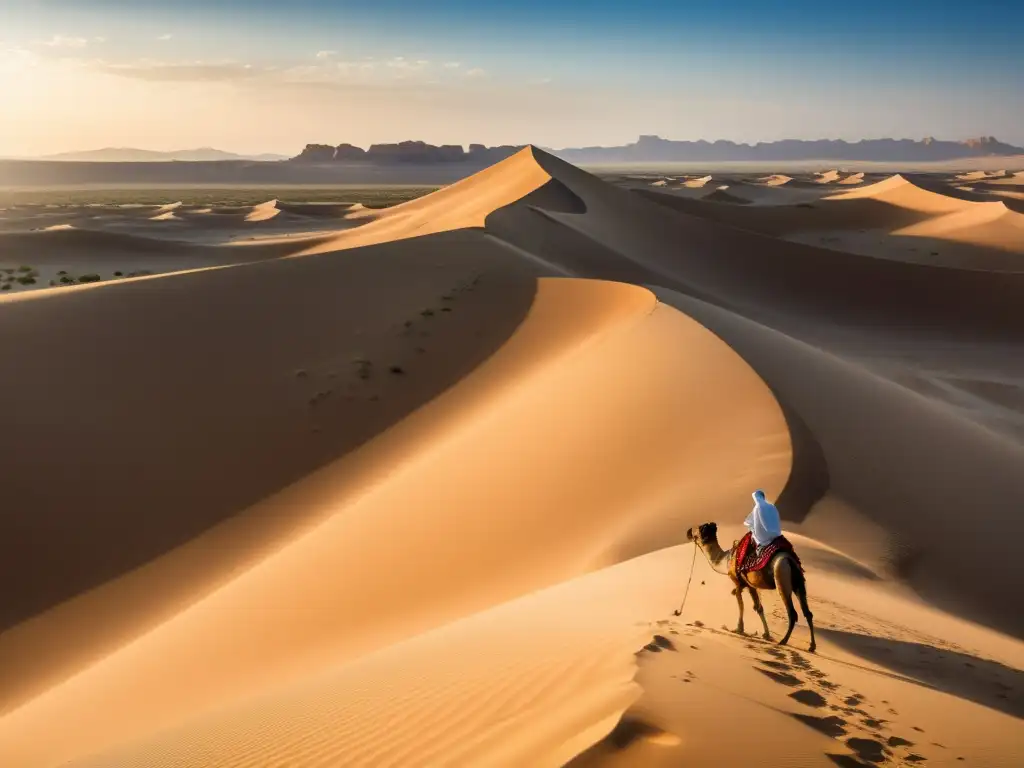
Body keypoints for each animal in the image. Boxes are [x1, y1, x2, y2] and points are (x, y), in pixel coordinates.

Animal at [688, 520, 815, 651]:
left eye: (701, 528)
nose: (689, 532)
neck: (726, 560)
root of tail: (789, 560)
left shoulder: (738, 582)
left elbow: (741, 604)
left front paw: (739, 628)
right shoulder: (750, 586)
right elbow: (759, 608)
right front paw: (766, 634)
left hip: (781, 575)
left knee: (792, 613)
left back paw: (783, 641)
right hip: (799, 582)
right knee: (807, 613)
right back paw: (812, 646)